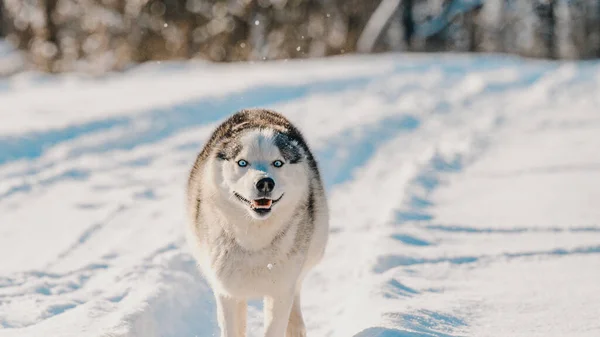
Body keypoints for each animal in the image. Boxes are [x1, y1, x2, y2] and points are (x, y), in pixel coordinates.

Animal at [186, 109, 328, 334]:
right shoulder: (227, 293)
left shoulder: (280, 291)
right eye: (242, 163)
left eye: (277, 163)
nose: (265, 182)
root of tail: (257, 111)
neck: (253, 238)